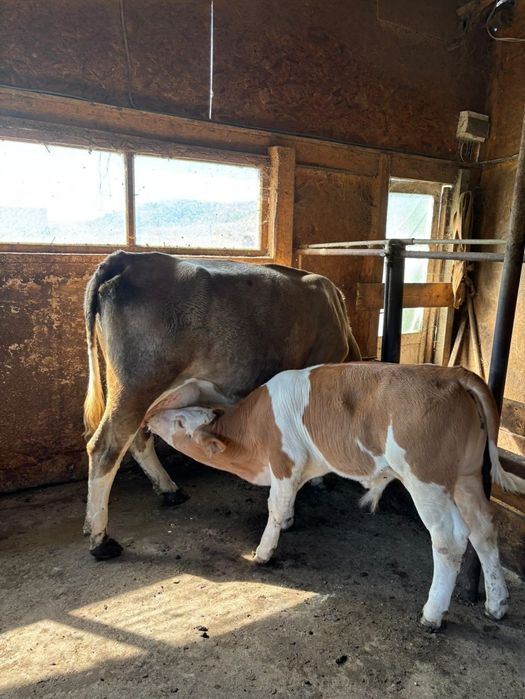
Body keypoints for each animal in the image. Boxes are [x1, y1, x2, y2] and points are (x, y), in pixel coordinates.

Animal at [83, 251, 361, 560]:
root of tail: (128, 257)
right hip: (137, 385)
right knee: (106, 447)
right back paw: (100, 540)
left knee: (138, 439)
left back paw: (169, 490)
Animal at [145, 362, 525, 631]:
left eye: (180, 422)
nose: (151, 418)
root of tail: (452, 373)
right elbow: (287, 503)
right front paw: (289, 523)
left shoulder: (284, 461)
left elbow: (274, 507)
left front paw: (264, 552)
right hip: (467, 477)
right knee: (484, 530)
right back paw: (497, 604)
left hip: (426, 480)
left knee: (450, 539)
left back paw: (432, 614)